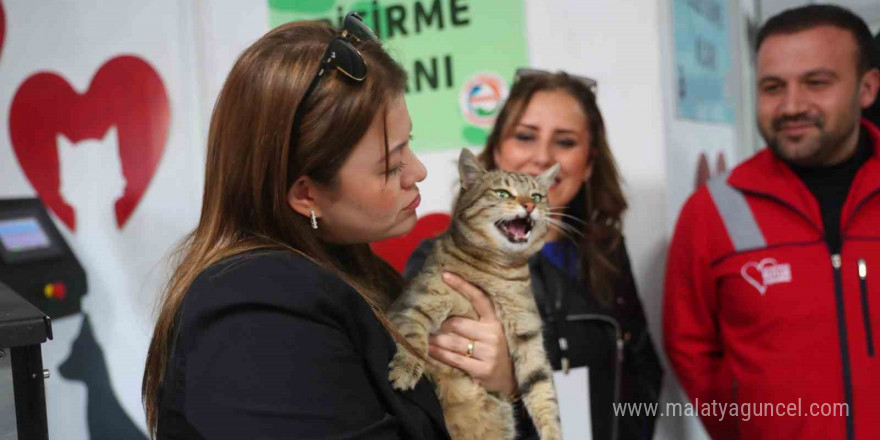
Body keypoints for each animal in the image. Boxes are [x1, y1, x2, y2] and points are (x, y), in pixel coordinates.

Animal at [388, 149, 560, 440]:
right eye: (503, 193)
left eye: (537, 196)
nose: (529, 206)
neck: (497, 273)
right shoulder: (415, 304)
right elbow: (412, 339)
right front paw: (405, 369)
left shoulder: (528, 334)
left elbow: (542, 391)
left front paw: (553, 433)